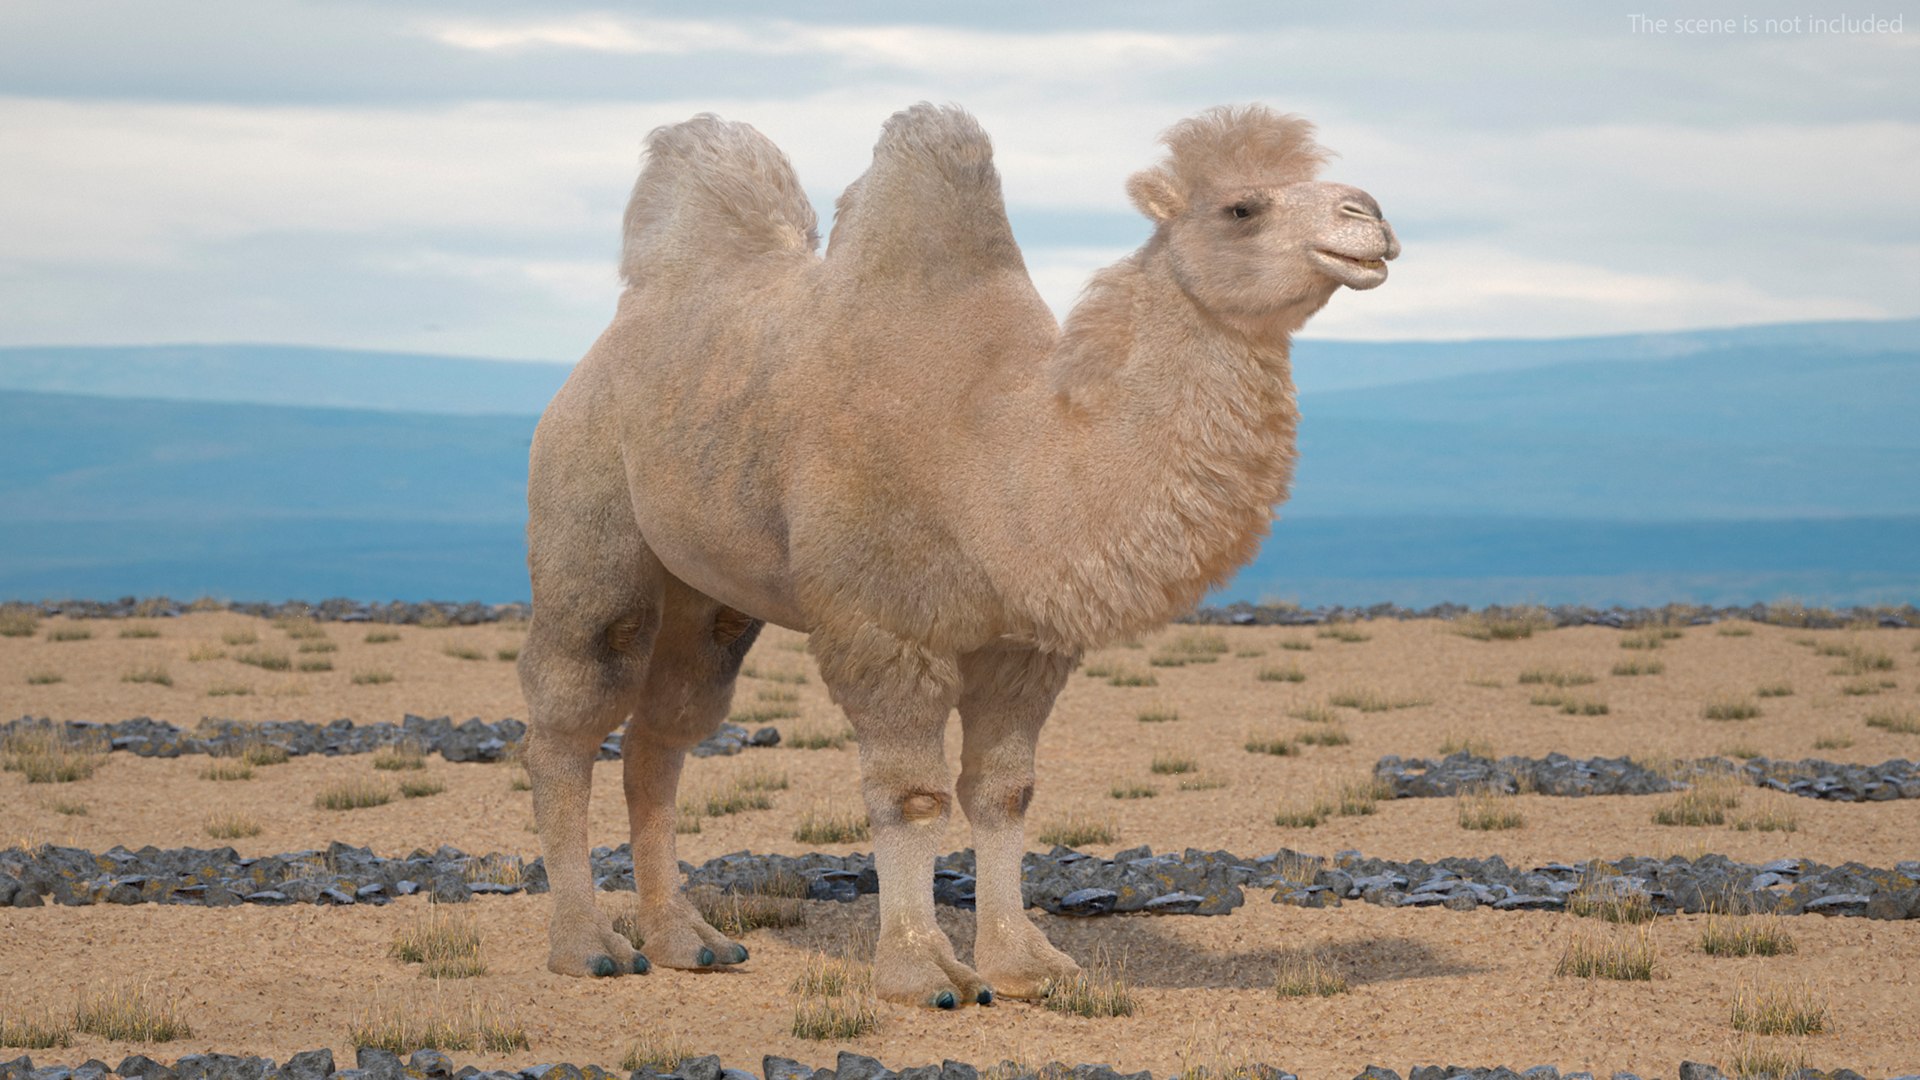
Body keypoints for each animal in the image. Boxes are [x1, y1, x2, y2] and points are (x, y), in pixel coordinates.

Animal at [518, 103, 1397, 1008]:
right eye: (1241, 208)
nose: (1368, 215)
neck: (999, 451)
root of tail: (615, 335)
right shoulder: (887, 627)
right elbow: (912, 797)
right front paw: (923, 972)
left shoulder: (1024, 645)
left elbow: (1004, 792)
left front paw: (1026, 964)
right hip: (588, 509)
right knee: (570, 718)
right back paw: (588, 945)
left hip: (709, 593)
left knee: (664, 733)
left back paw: (688, 940)